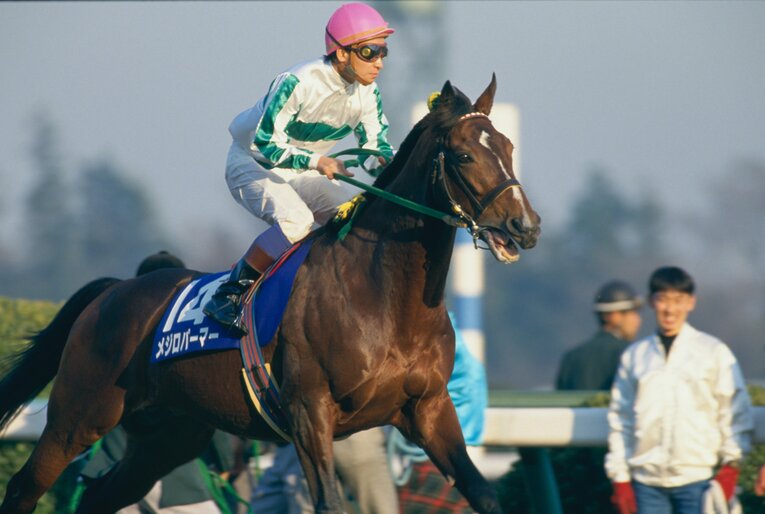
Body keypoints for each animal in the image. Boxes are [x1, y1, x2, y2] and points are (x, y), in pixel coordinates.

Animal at [0, 75, 540, 514]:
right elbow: (329, 502)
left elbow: (484, 493)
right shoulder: (309, 411)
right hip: (80, 414)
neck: (386, 301)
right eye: (466, 155)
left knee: (99, 495)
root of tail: (112, 293)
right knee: (24, 487)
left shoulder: (429, 410)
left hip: (167, 435)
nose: (526, 226)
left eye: (510, 146)